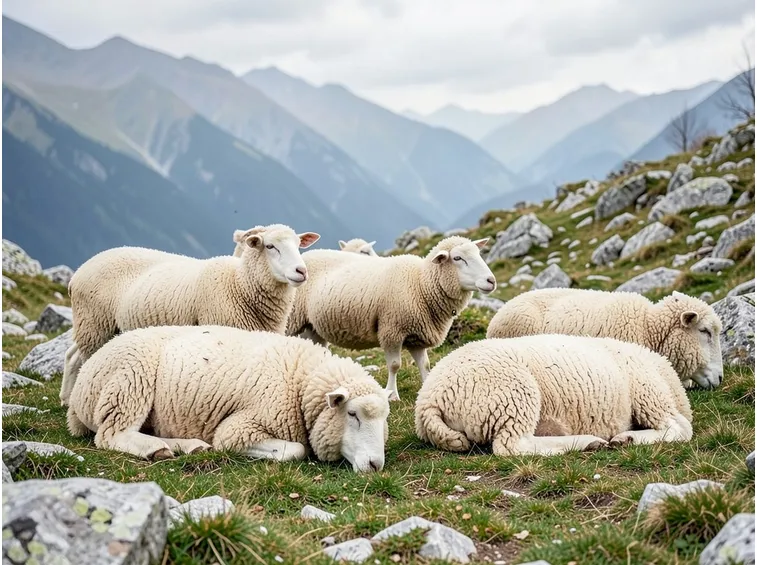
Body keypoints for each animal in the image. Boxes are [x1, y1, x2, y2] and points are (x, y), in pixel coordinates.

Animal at [60, 224, 320, 406]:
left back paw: (65, 398)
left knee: (72, 355)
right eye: (270, 246)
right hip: (94, 322)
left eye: (299, 246)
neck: (239, 283)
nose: (301, 271)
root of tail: (79, 271)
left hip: (95, 326)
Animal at [67, 325, 391, 472]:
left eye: (384, 419)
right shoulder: (239, 428)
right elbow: (295, 450)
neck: (301, 377)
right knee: (112, 435)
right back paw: (155, 449)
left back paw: (189, 446)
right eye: (352, 414)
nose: (376, 465)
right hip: (130, 379)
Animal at [287, 236, 496, 401]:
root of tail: (306, 256)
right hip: (292, 319)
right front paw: (392, 394)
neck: (420, 284)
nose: (491, 281)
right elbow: (395, 365)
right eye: (457, 258)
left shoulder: (417, 335)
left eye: (479, 254)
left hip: (313, 327)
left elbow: (425, 365)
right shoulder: (392, 330)